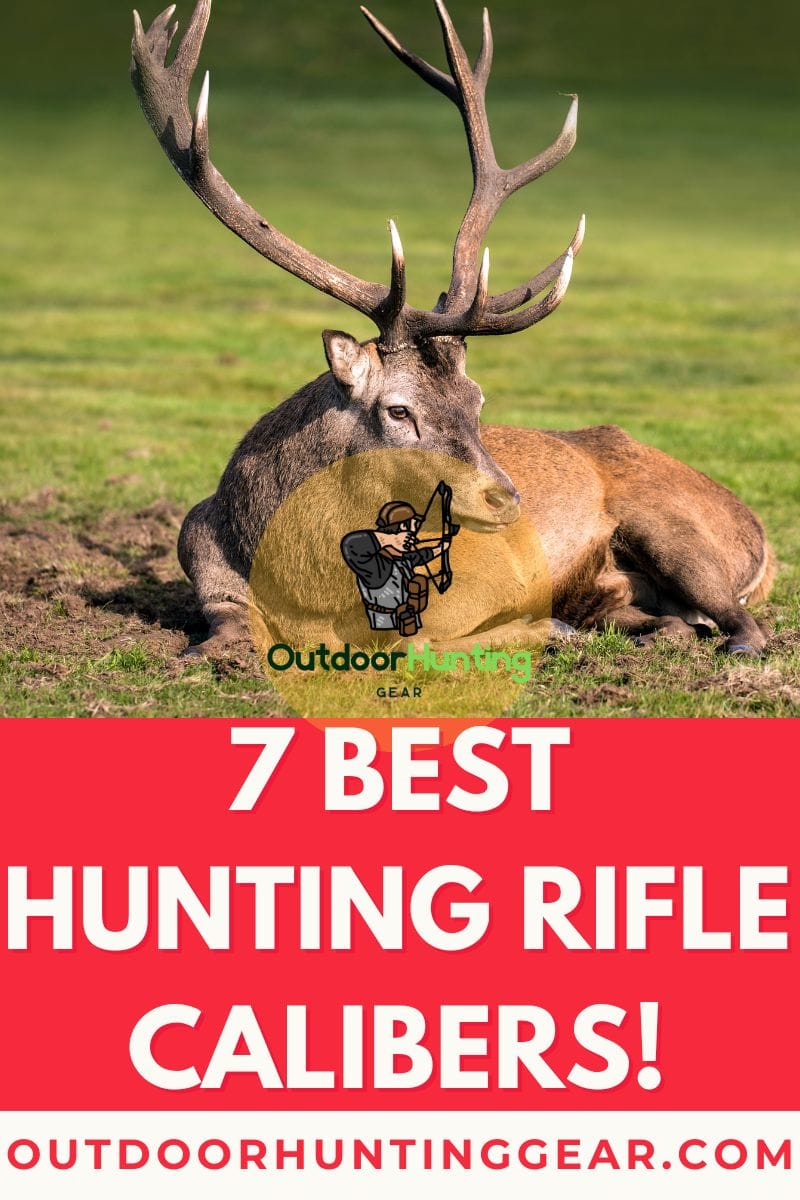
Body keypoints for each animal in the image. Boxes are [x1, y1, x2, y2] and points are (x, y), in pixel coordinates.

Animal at [131, 0, 773, 661]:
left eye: (477, 400)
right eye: (397, 410)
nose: (507, 499)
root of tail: (761, 537)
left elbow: (423, 638)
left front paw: (542, 629)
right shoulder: (201, 556)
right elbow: (222, 630)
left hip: (674, 530)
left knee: (744, 625)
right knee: (670, 619)